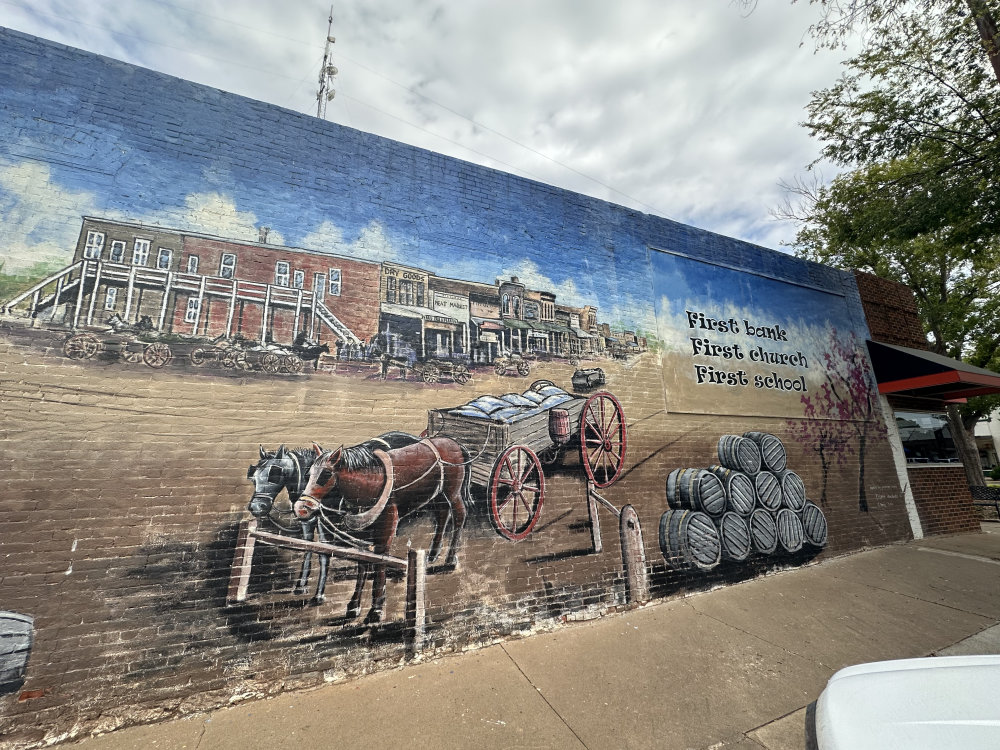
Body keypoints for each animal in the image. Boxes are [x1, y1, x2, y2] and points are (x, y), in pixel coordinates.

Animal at [298, 438, 470, 624]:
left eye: (325, 475)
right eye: (308, 475)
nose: (301, 508)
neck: (372, 484)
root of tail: (452, 442)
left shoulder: (385, 532)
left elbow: (380, 563)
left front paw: (376, 610)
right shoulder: (363, 535)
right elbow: (363, 563)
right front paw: (354, 606)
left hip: (452, 493)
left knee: (459, 516)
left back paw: (451, 559)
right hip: (438, 494)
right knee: (442, 515)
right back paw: (433, 554)